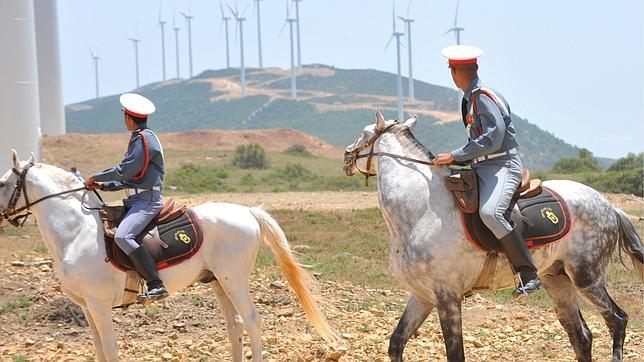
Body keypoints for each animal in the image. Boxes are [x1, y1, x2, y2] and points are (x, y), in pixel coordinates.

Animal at [0, 151, 340, 360]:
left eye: (4, 182)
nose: (3, 216)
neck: (76, 232)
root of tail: (247, 211)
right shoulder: (86, 307)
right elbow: (98, 348)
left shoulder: (99, 305)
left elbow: (109, 349)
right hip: (219, 283)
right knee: (235, 327)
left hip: (234, 281)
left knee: (252, 321)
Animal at [344, 111, 640, 362]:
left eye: (363, 132)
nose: (347, 156)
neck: (420, 207)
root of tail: (608, 205)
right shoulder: (422, 296)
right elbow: (396, 343)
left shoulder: (447, 297)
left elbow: (455, 354)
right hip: (557, 280)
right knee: (581, 337)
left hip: (587, 278)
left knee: (617, 320)